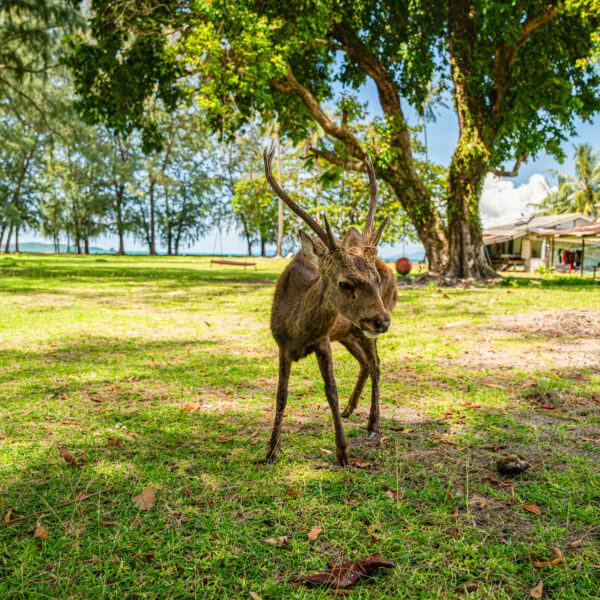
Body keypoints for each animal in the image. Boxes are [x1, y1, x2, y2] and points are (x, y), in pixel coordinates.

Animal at [260, 148, 396, 466]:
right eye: (345, 283)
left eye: (374, 280)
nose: (383, 321)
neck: (297, 333)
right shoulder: (281, 345)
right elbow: (281, 394)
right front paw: (270, 450)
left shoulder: (322, 340)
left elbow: (330, 390)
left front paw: (343, 451)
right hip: (350, 331)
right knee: (364, 363)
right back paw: (350, 410)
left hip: (360, 330)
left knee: (376, 364)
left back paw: (373, 424)